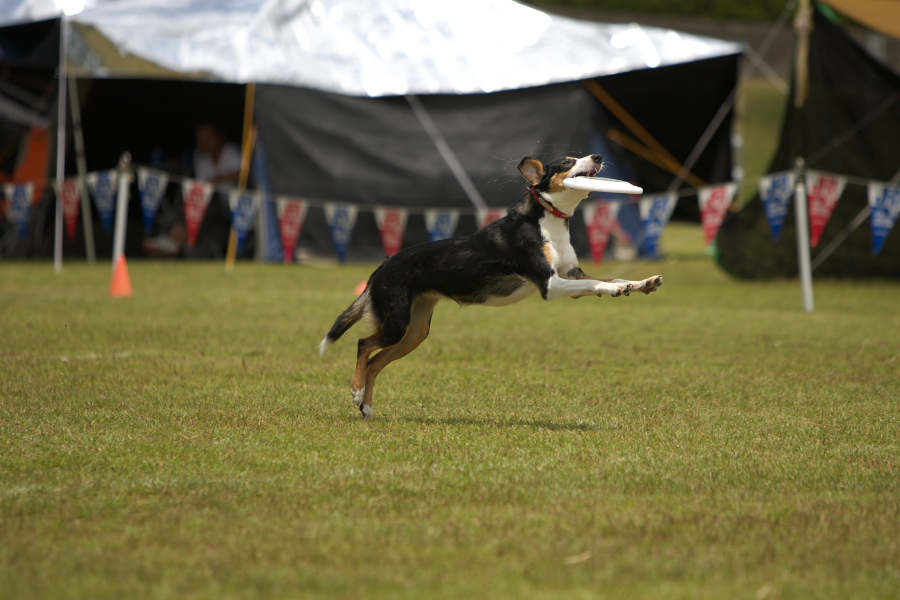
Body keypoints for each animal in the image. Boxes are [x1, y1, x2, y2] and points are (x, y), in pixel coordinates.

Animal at [318, 155, 660, 418]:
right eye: (567, 162)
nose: (598, 157)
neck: (547, 219)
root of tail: (381, 267)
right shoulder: (549, 284)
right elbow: (597, 283)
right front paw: (615, 290)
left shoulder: (571, 275)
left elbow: (609, 278)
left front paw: (641, 283)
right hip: (396, 323)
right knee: (363, 345)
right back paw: (356, 391)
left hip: (414, 333)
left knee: (375, 362)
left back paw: (366, 407)